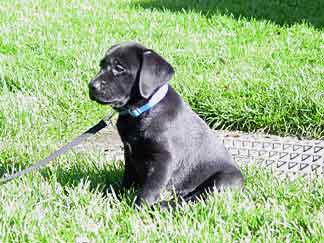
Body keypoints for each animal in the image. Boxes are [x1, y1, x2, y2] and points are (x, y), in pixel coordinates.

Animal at [88, 41, 243, 207]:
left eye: (119, 68)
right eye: (101, 65)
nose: (91, 85)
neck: (142, 111)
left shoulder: (165, 159)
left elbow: (151, 188)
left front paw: (139, 207)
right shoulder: (129, 154)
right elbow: (128, 179)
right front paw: (115, 195)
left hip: (226, 179)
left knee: (196, 198)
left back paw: (164, 206)